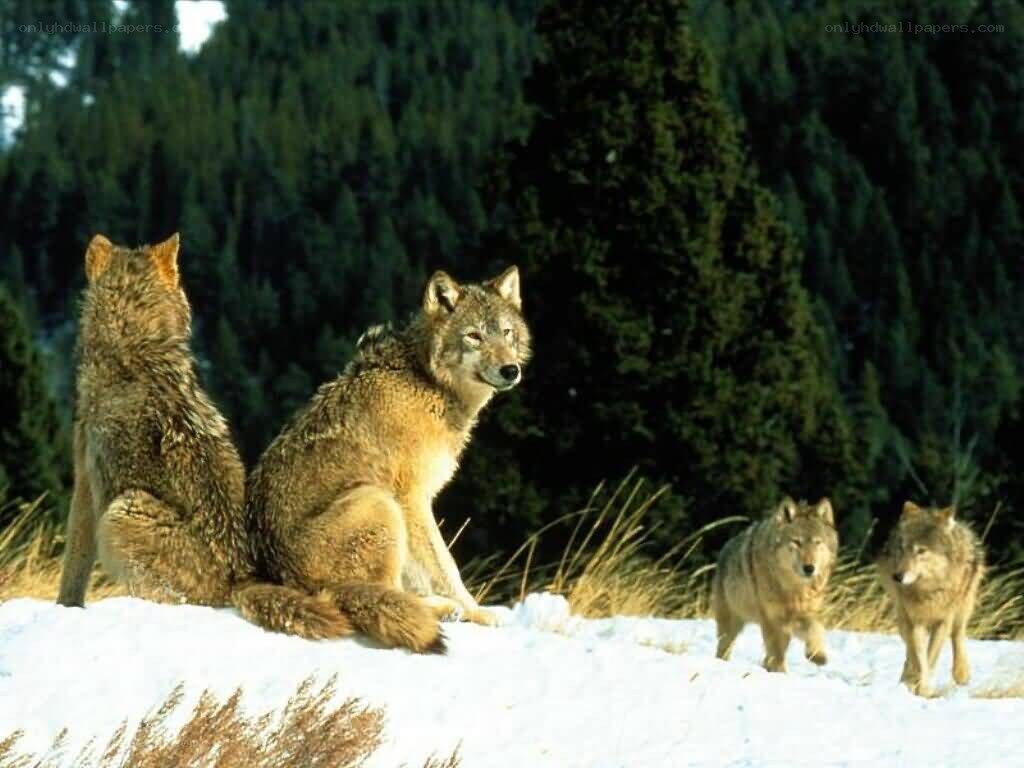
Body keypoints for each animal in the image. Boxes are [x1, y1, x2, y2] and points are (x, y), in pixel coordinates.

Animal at [57, 233, 350, 640]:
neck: (137, 350)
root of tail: (240, 580)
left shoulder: (86, 482)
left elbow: (73, 565)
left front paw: (62, 609)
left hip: (123, 509)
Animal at [245, 266, 530, 654]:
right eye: (474, 336)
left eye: (506, 333)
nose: (510, 370)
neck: (427, 382)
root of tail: (272, 577)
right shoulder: (411, 498)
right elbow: (446, 566)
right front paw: (478, 612)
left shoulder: (415, 502)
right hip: (377, 501)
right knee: (375, 592)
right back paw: (443, 609)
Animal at [713, 497, 838, 672]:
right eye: (796, 542)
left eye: (817, 542)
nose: (809, 568)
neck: (794, 589)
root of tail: (726, 546)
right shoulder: (772, 619)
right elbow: (777, 654)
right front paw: (780, 674)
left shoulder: (803, 614)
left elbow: (816, 629)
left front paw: (817, 655)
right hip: (731, 624)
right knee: (724, 648)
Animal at [876, 501, 985, 696]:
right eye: (901, 548)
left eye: (921, 551)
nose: (897, 576)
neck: (928, 591)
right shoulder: (915, 622)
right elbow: (920, 658)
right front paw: (920, 686)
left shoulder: (943, 622)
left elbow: (930, 656)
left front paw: (923, 689)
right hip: (902, 615)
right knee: (909, 650)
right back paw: (908, 678)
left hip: (963, 607)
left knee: (958, 634)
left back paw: (961, 673)